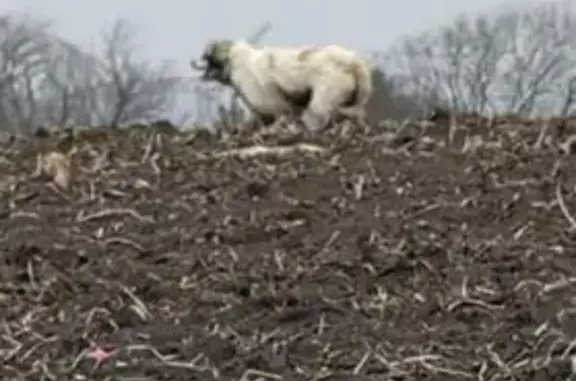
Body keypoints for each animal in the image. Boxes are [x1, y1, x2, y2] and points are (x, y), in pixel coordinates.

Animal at [191, 39, 376, 130]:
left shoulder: (273, 107)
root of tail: (351, 62)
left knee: (316, 117)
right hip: (352, 100)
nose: (206, 75)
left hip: (325, 97)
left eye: (212, 60)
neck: (239, 63)